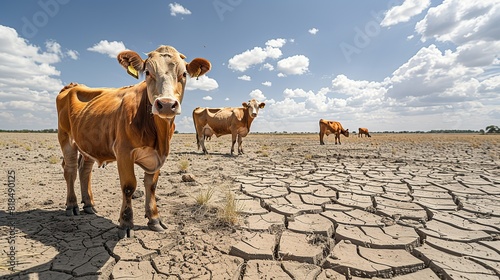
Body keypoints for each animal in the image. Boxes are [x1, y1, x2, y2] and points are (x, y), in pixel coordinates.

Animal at [55, 46, 211, 238]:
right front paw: (126, 223)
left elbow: (151, 186)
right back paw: (72, 205)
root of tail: (72, 85)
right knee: (70, 170)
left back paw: (89, 205)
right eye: (148, 72)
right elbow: (129, 187)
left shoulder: (159, 156)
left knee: (85, 170)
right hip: (66, 138)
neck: (158, 133)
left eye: (183, 74)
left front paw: (154, 219)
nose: (166, 104)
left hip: (89, 143)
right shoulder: (124, 153)